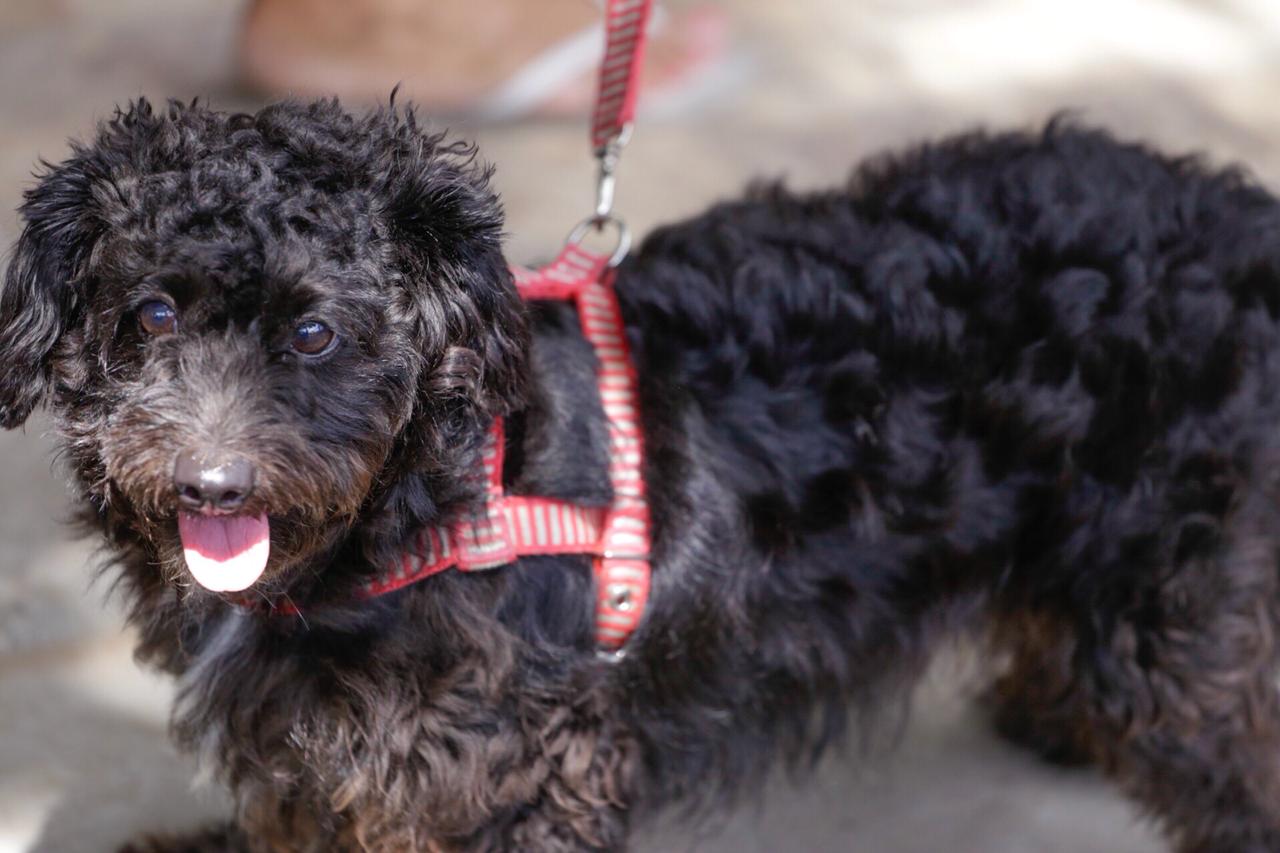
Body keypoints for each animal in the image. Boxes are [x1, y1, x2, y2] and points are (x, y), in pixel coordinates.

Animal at [2, 96, 1280, 845]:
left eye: (315, 332)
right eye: (152, 312)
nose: (211, 487)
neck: (424, 504)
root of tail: (1242, 215)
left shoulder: (511, 770)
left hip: (1172, 593)